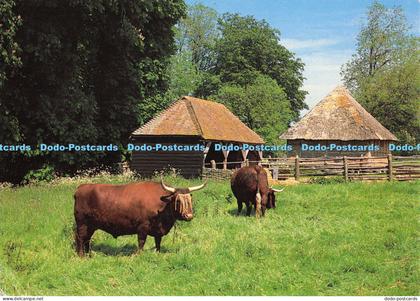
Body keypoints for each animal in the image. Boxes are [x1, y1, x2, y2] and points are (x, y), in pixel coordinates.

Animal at [75, 178, 208, 255]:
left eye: (189, 199)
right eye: (178, 200)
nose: (189, 216)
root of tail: (80, 188)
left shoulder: (158, 230)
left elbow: (158, 242)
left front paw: (157, 253)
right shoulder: (142, 227)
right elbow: (141, 242)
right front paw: (139, 255)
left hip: (91, 226)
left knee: (87, 239)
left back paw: (89, 254)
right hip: (82, 224)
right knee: (81, 238)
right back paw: (82, 255)